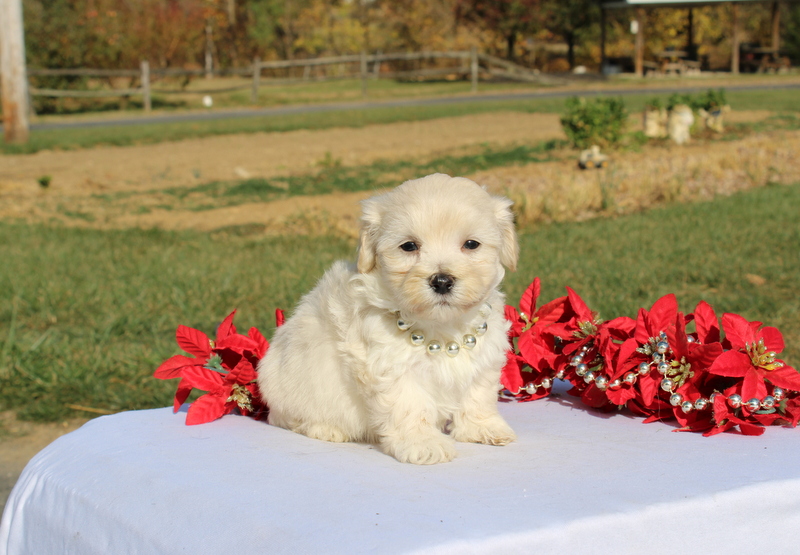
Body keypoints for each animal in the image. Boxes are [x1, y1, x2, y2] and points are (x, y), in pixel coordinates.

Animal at [258, 174, 520, 464]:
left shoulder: (484, 357)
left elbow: (478, 394)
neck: (441, 326)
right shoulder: (391, 367)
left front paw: (484, 428)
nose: (441, 281)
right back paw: (327, 429)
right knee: (291, 418)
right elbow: (410, 406)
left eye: (471, 244)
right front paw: (424, 443)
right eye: (409, 246)